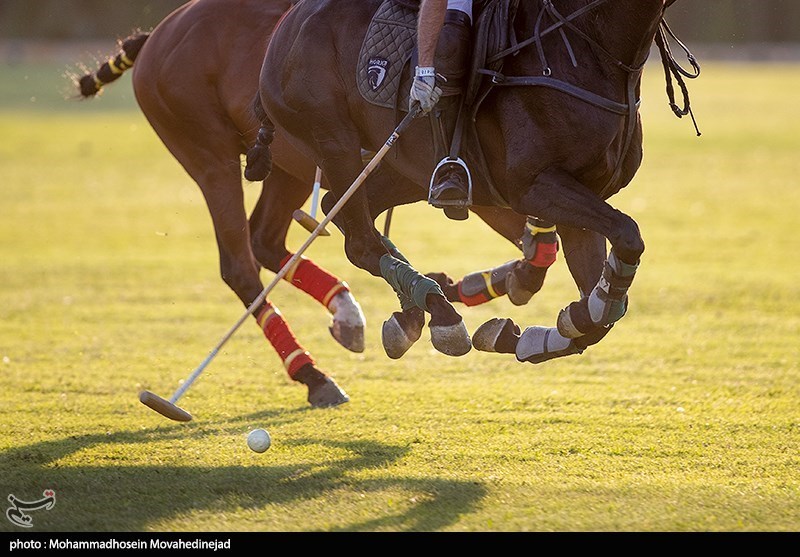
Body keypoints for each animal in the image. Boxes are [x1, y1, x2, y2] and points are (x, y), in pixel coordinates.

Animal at [75, 0, 584, 404]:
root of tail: (159, 32)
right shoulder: (463, 179)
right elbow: (535, 248)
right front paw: (445, 297)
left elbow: (539, 246)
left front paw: (455, 290)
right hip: (211, 156)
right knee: (241, 263)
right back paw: (312, 374)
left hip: (287, 168)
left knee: (267, 240)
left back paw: (348, 312)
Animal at [258, 0, 692, 360]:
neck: (588, 50)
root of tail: (284, 27)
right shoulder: (535, 186)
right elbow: (628, 236)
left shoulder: (584, 194)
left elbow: (599, 312)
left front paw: (523, 337)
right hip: (335, 141)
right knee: (359, 241)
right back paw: (440, 313)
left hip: (406, 167)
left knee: (340, 207)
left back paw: (415, 312)